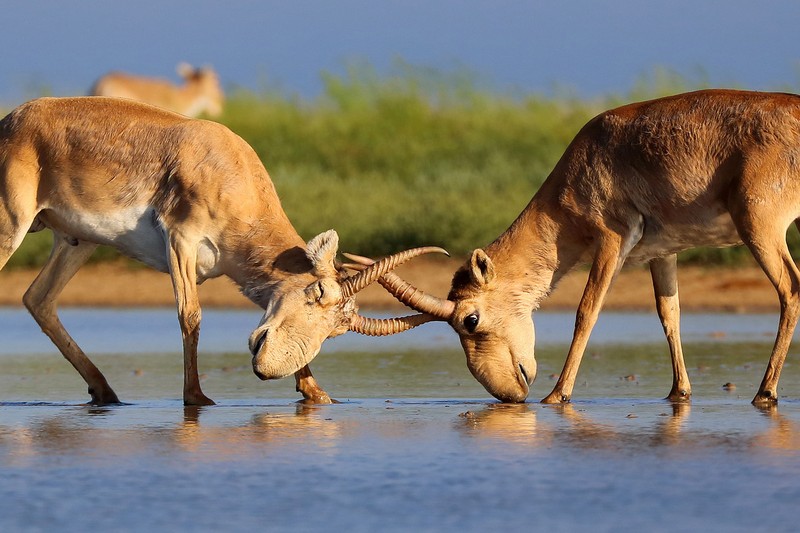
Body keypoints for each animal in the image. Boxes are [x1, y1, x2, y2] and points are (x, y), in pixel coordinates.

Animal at [0, 96, 444, 404]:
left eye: (336, 329)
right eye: (317, 292)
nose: (264, 370)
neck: (230, 168)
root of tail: (10, 121)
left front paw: (318, 394)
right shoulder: (181, 240)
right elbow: (191, 315)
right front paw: (197, 398)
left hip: (78, 241)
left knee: (38, 298)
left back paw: (105, 392)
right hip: (13, 225)